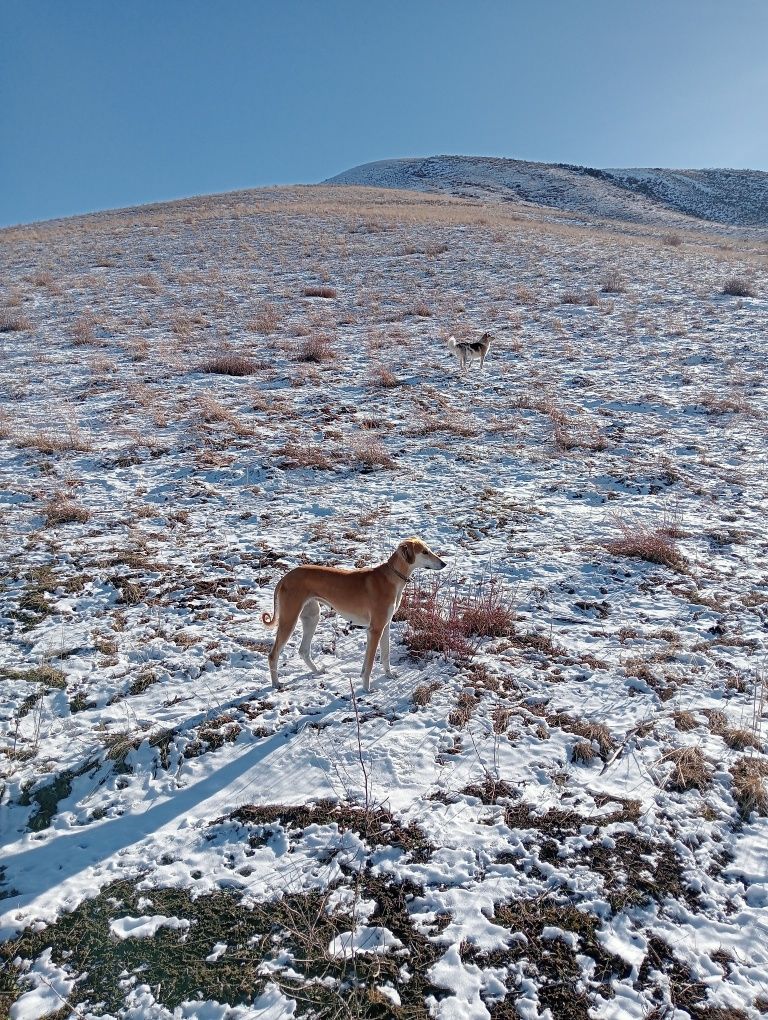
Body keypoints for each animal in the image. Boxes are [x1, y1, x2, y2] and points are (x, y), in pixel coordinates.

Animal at [263, 534, 442, 693]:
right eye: (424, 552)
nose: (444, 563)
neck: (391, 577)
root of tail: (285, 577)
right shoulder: (375, 630)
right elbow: (369, 664)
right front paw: (367, 688)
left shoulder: (385, 626)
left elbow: (385, 655)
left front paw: (389, 675)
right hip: (289, 620)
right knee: (273, 655)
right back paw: (276, 684)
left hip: (312, 617)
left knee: (303, 650)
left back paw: (317, 671)